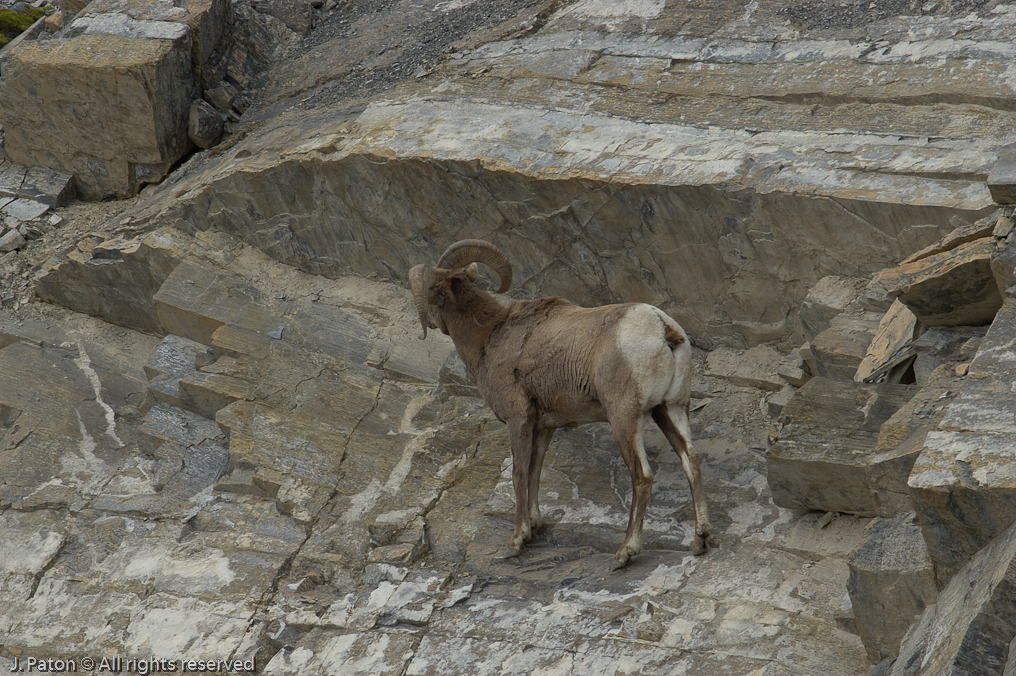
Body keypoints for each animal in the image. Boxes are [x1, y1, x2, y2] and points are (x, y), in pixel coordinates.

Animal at [409, 239, 710, 570]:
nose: (429, 323)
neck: (490, 335)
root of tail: (663, 329)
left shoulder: (518, 420)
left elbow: (518, 474)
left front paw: (516, 542)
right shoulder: (543, 426)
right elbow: (535, 471)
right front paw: (535, 527)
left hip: (624, 418)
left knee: (642, 476)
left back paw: (624, 553)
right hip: (670, 409)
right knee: (691, 460)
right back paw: (701, 541)